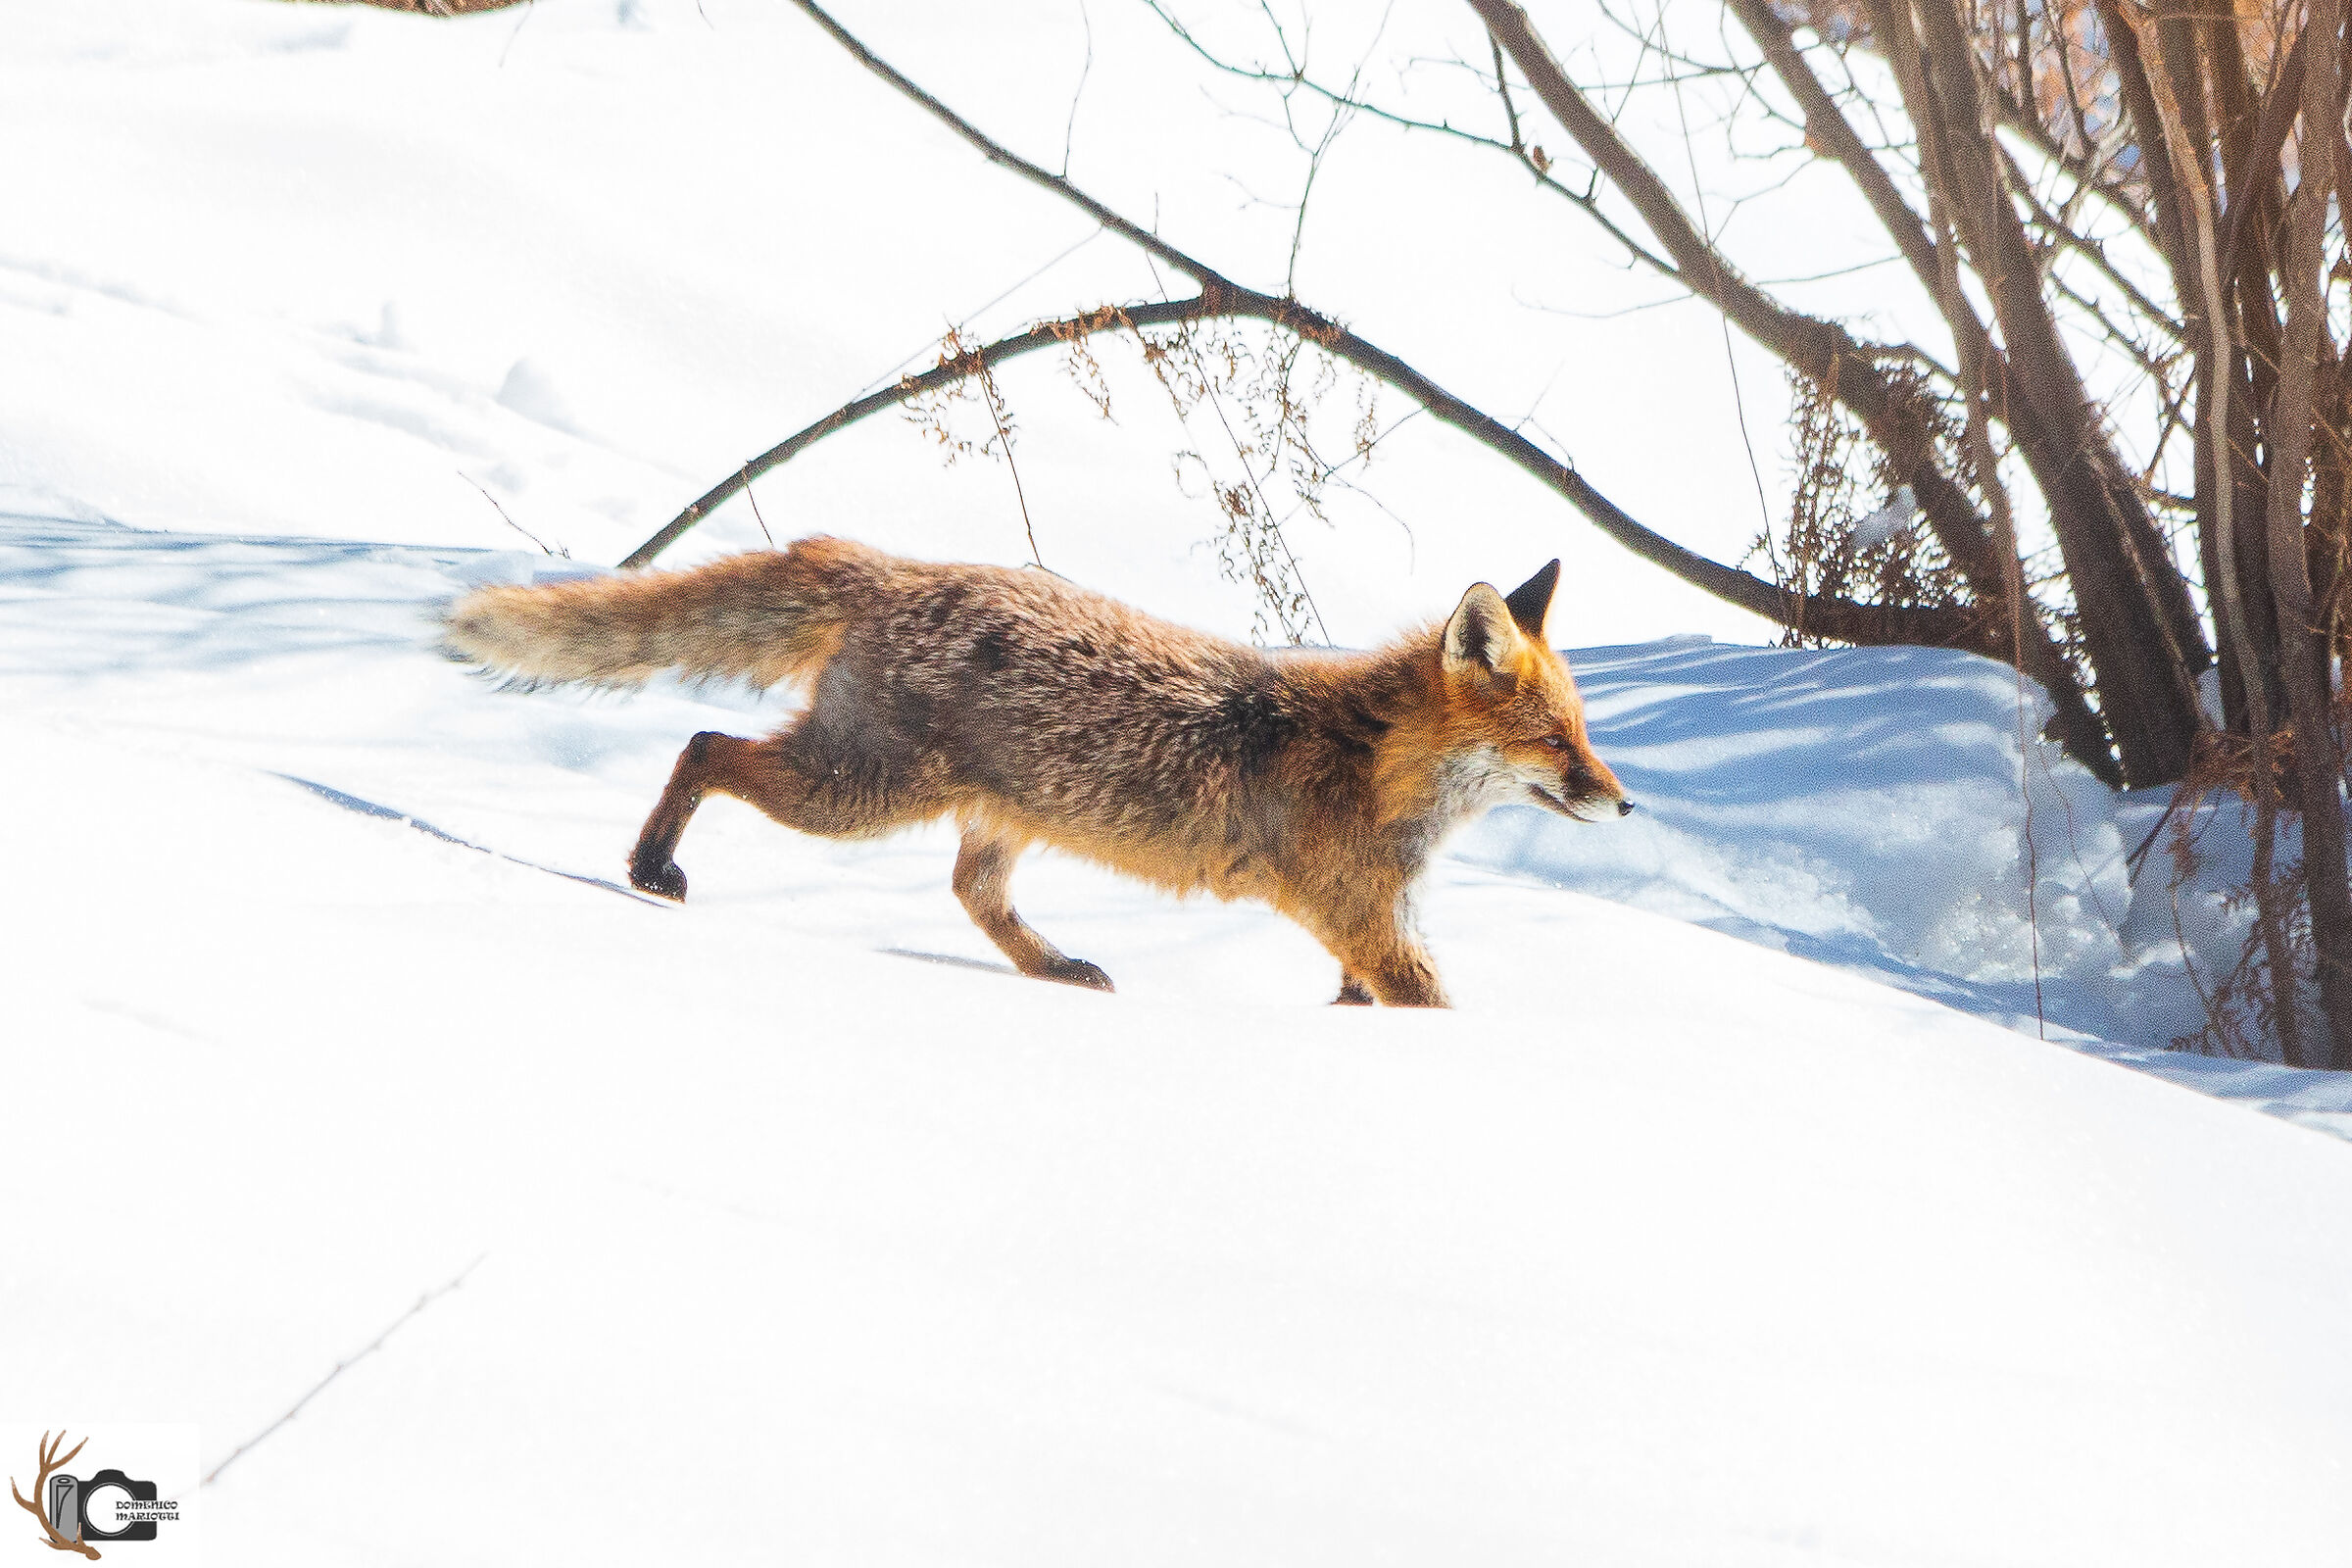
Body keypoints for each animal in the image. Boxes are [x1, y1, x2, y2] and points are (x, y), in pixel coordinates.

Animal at [441, 537, 1629, 1006]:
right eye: (1558, 743)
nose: (1624, 800)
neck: (1371, 762)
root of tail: (897, 569)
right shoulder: (1369, 922)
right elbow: (1433, 1006)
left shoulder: (1364, 932)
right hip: (856, 794)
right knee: (703, 749)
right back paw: (651, 868)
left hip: (990, 815)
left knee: (971, 893)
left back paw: (1057, 969)